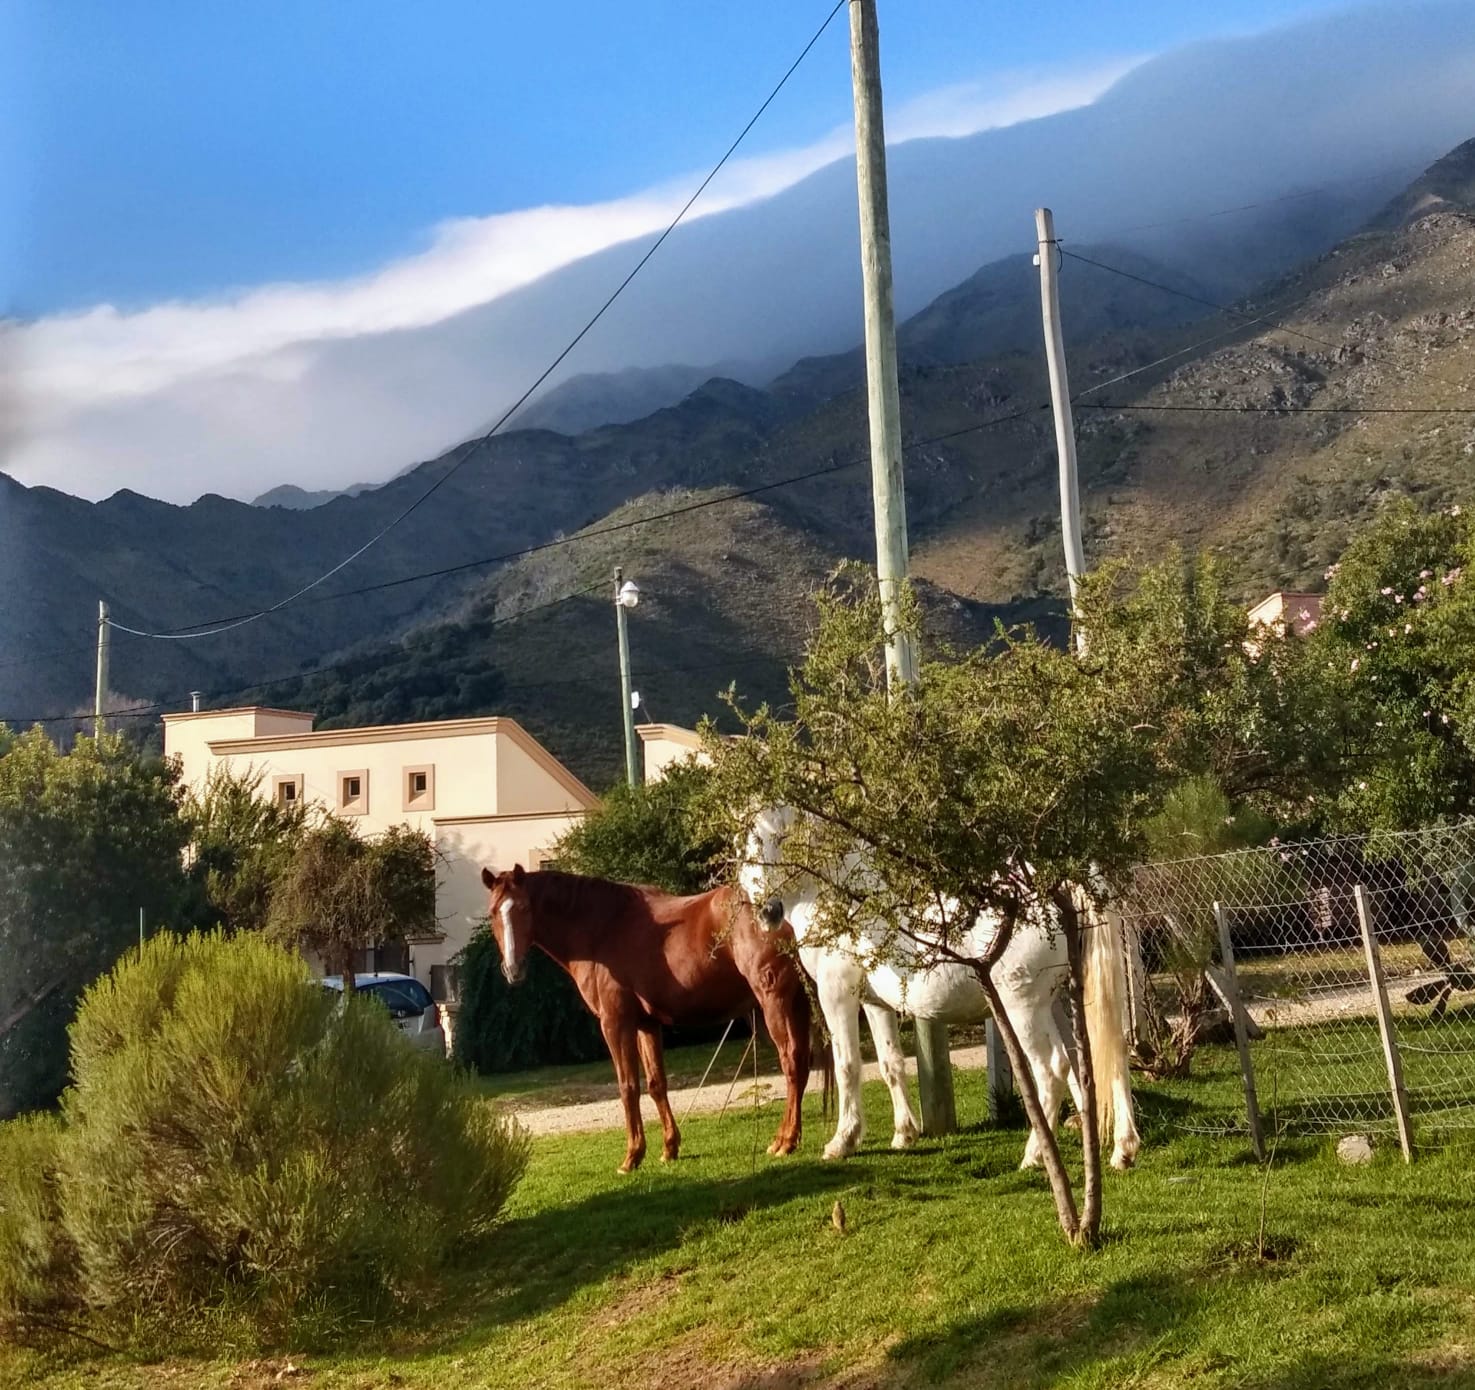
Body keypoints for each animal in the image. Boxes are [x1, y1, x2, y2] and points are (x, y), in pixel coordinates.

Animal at [480, 865, 812, 1173]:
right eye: (493, 912)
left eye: (523, 907)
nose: (513, 969)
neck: (602, 929)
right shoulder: (646, 1024)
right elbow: (656, 1084)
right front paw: (669, 1148)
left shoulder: (615, 1023)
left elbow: (628, 1087)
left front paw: (632, 1156)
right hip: (799, 1001)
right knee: (803, 1061)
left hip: (774, 1001)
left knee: (790, 1061)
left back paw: (784, 1142)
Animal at [737, 805, 1140, 1171]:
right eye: (748, 840)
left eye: (783, 835)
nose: (769, 912)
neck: (847, 895)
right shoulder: (876, 1003)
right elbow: (890, 1064)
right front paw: (904, 1134)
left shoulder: (837, 994)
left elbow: (848, 1065)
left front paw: (843, 1141)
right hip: (1068, 1000)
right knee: (1102, 1056)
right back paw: (1121, 1149)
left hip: (1024, 1006)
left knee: (1053, 1070)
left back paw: (1035, 1155)